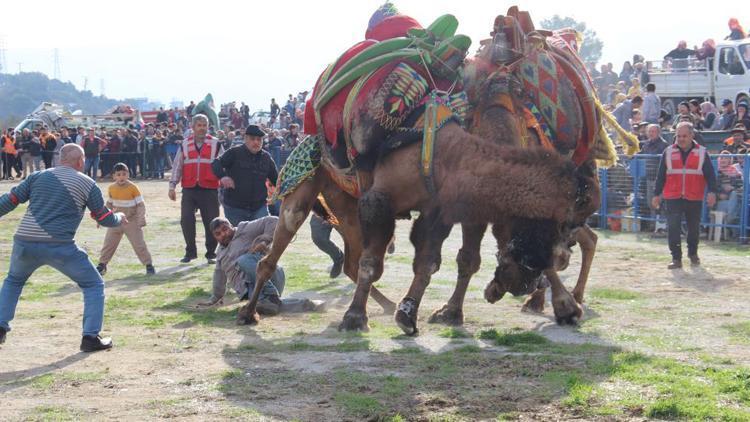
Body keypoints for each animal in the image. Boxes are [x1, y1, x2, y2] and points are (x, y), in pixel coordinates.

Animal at [238, 12, 604, 332]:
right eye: (530, 248)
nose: (521, 284)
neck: (448, 149)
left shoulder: (437, 209)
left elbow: (428, 262)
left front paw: (408, 314)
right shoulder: (381, 200)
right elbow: (379, 263)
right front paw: (356, 318)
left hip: (345, 200)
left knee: (352, 259)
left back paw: (386, 305)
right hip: (306, 185)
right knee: (279, 249)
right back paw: (248, 312)